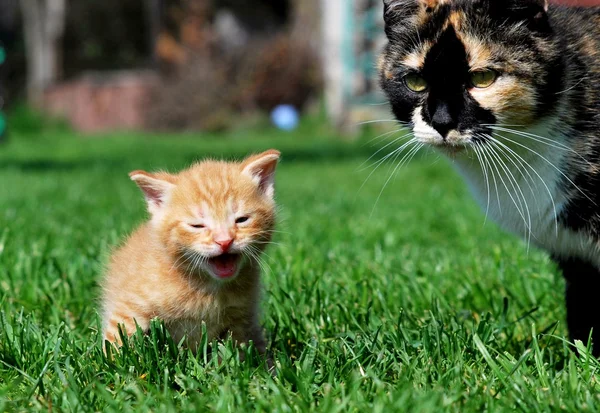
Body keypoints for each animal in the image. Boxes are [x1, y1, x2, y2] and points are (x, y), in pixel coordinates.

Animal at [101, 150, 282, 352]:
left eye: (242, 219)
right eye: (197, 226)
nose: (224, 241)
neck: (205, 286)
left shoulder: (241, 319)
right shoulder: (129, 307)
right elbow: (116, 341)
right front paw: (111, 359)